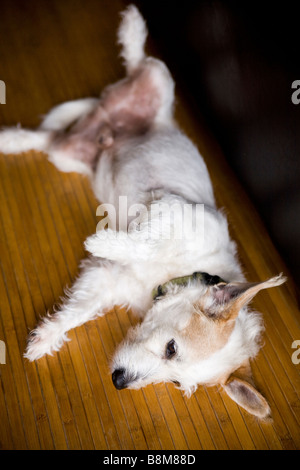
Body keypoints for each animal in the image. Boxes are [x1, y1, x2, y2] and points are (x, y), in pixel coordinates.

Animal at [0, 4, 286, 418]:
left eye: (176, 383)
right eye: (171, 348)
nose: (119, 381)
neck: (178, 273)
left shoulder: (107, 280)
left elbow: (78, 310)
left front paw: (45, 338)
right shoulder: (173, 209)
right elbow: (145, 241)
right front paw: (102, 242)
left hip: (67, 155)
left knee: (45, 138)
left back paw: (9, 140)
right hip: (160, 77)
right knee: (138, 61)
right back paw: (133, 29)